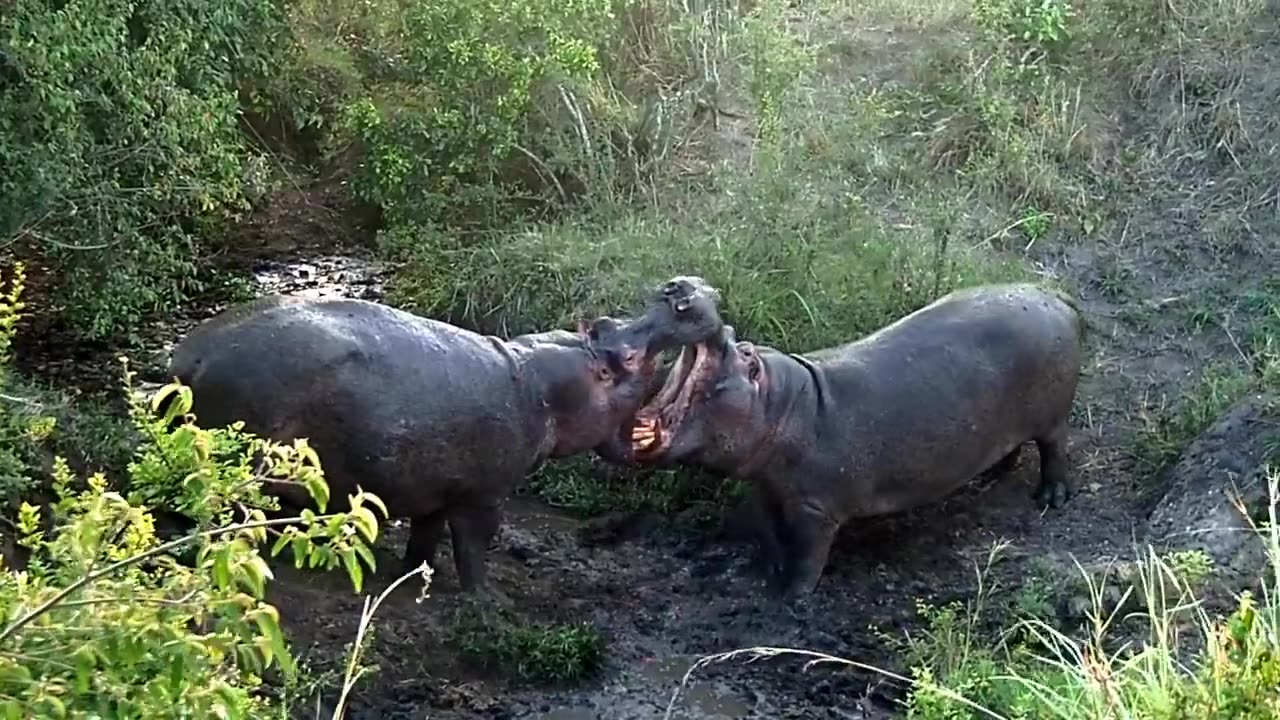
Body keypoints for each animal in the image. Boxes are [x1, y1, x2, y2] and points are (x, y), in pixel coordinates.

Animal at [168, 275, 727, 594]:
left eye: (605, 322)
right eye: (625, 358)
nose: (681, 291)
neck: (538, 383)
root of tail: (187, 358)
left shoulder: (433, 492)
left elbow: (425, 538)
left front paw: (410, 576)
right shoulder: (483, 497)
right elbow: (474, 549)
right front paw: (486, 601)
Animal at [609, 280, 1080, 599]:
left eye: (742, 352)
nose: (684, 287)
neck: (786, 403)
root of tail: (1053, 294)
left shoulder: (816, 509)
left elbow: (808, 555)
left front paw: (793, 597)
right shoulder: (769, 486)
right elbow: (770, 533)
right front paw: (767, 573)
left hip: (1053, 418)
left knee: (1054, 449)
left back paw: (1052, 498)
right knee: (1012, 447)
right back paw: (991, 476)